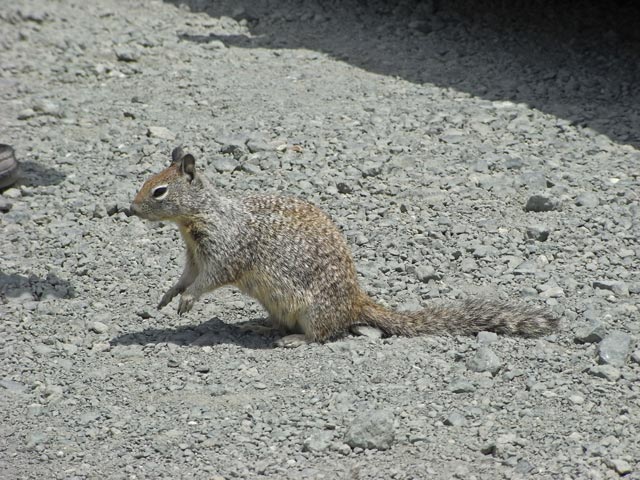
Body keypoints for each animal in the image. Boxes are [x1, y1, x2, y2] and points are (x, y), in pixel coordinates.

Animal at [129, 146, 556, 344]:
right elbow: (186, 275)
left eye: (159, 191)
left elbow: (211, 278)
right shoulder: (192, 254)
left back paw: (293, 340)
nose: (129, 209)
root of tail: (356, 301)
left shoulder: (225, 249)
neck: (196, 219)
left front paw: (188, 300)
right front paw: (169, 295)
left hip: (313, 309)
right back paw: (257, 324)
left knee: (323, 335)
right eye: (147, 181)